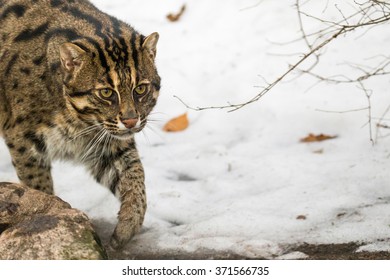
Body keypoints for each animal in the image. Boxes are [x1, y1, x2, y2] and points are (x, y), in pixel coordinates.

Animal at [0, 0, 160, 249]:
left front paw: (128, 225)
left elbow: (134, 175)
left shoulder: (107, 143)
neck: (78, 122)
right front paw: (44, 213)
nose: (131, 120)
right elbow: (37, 185)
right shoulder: (23, 140)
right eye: (106, 92)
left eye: (141, 89)